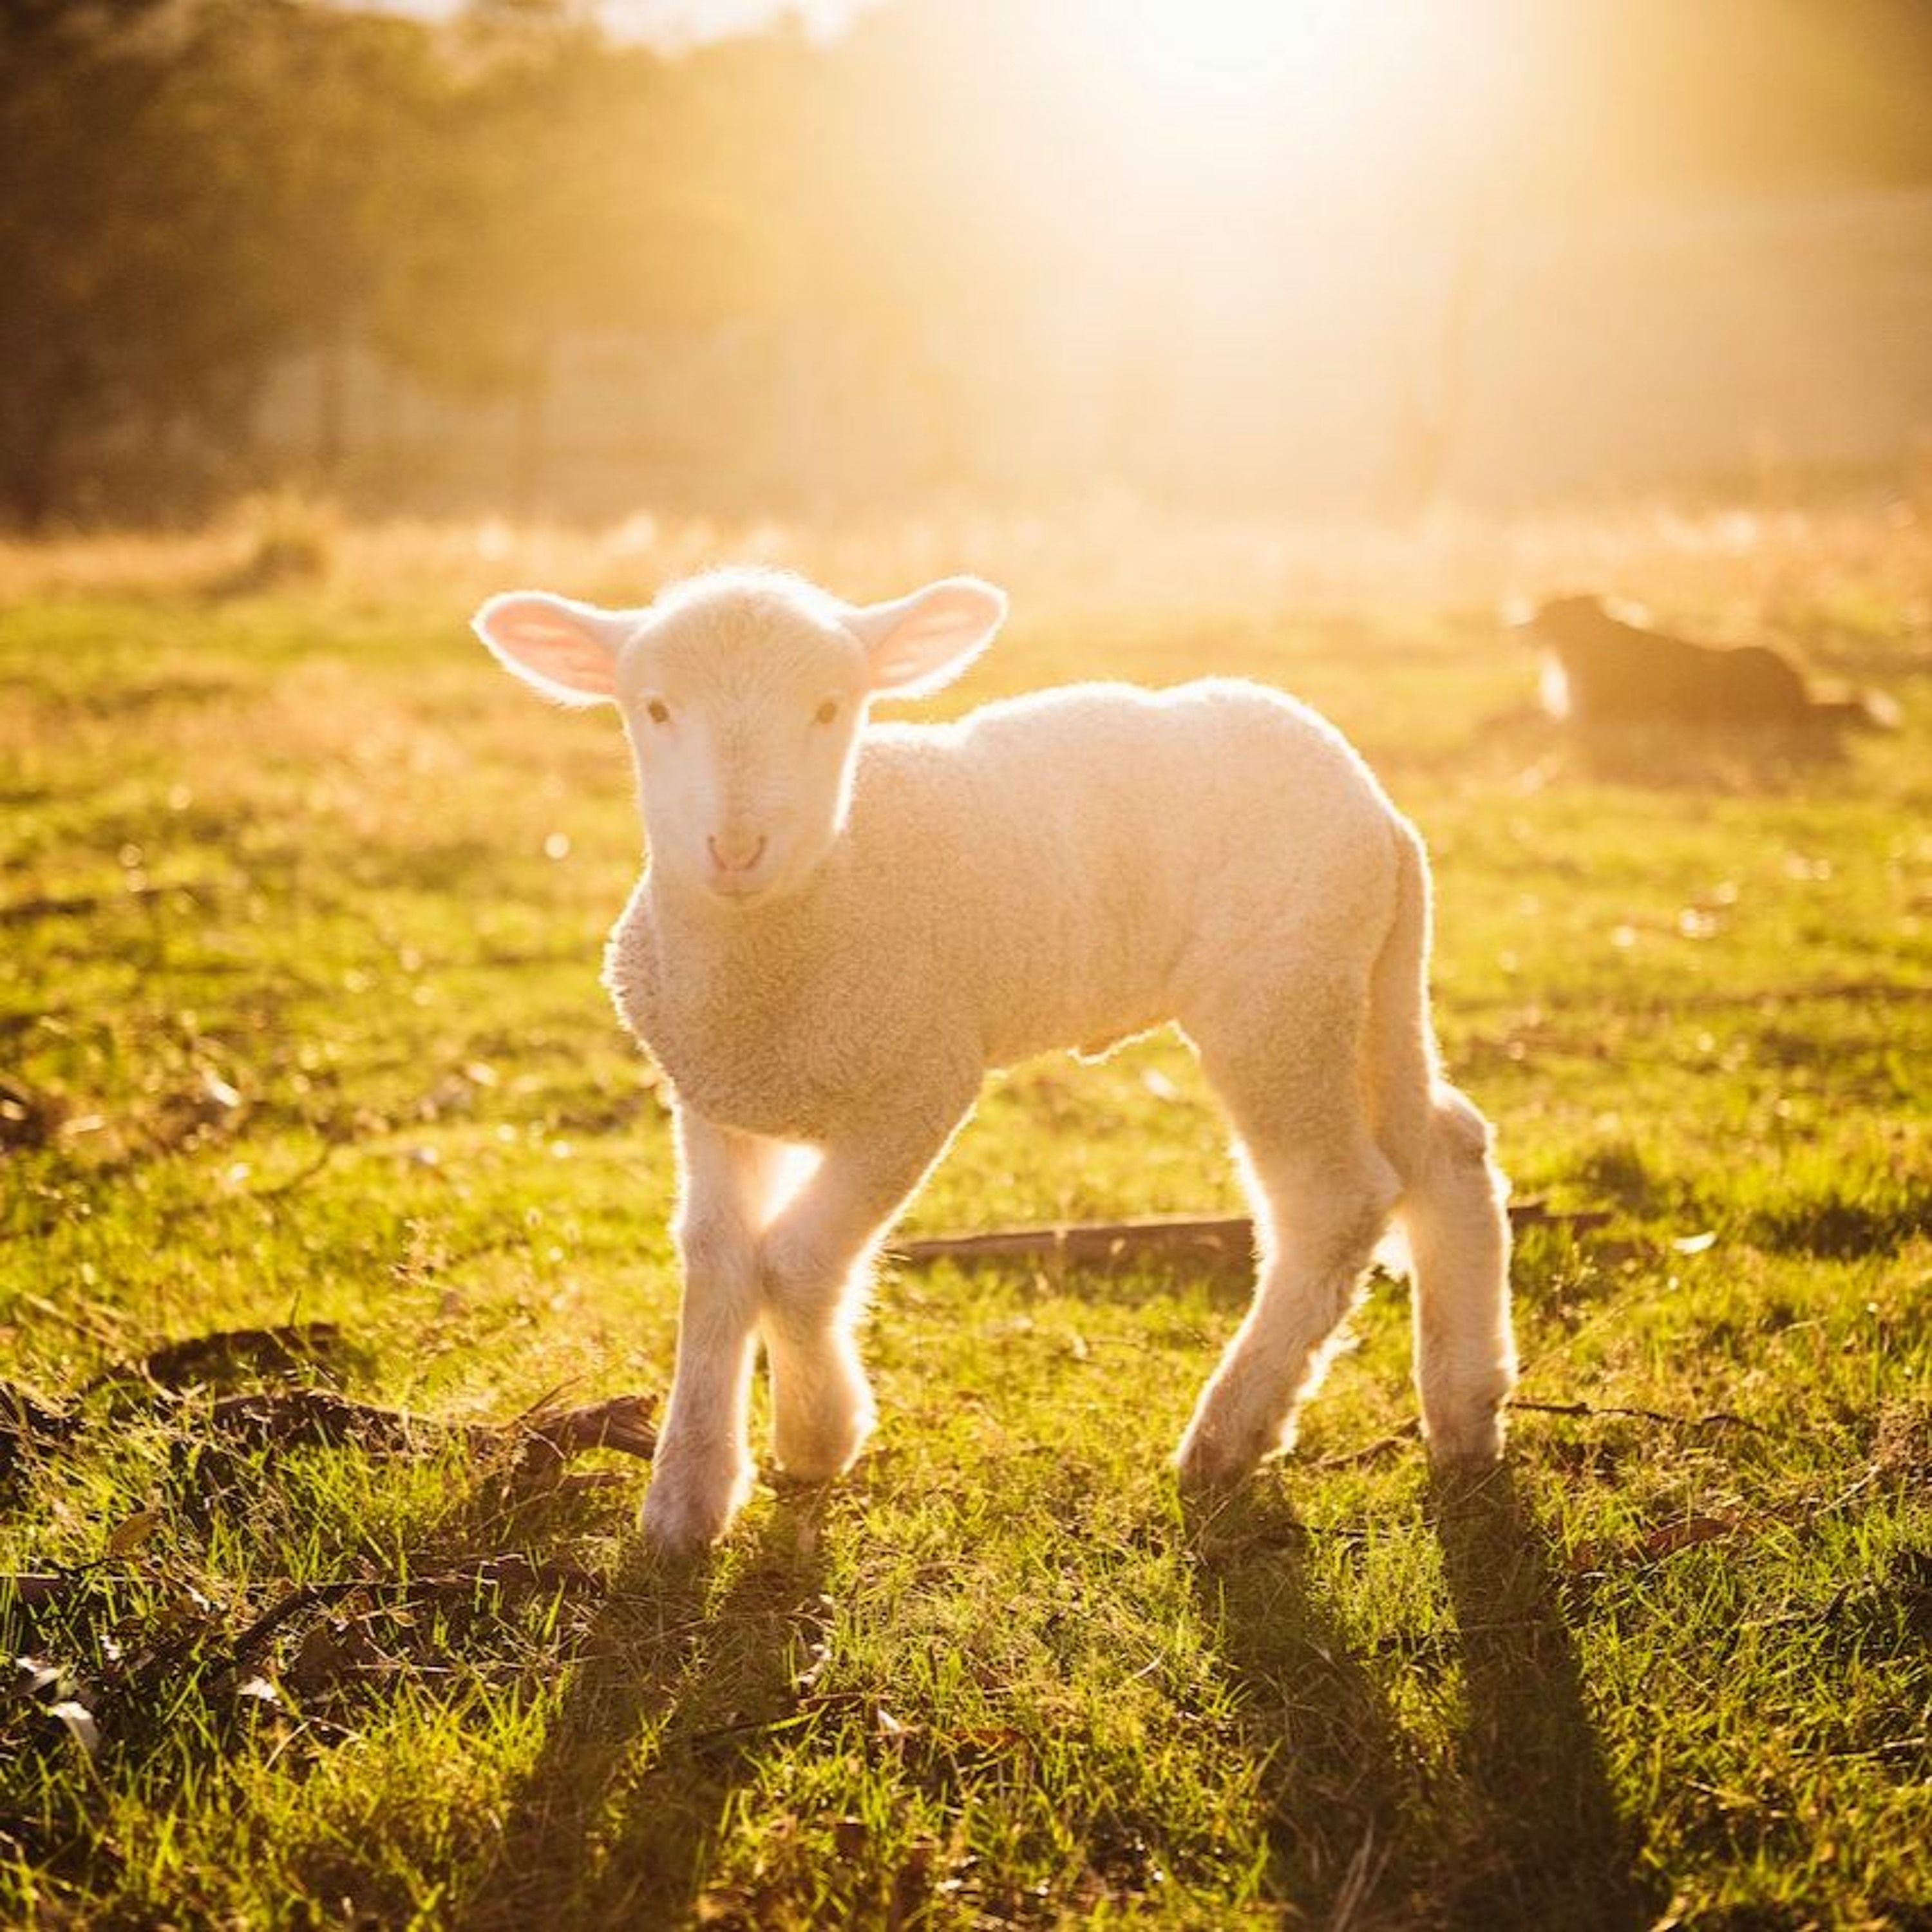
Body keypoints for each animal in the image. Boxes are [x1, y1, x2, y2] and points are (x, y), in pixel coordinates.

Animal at [473, 567, 1516, 1552]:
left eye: (830, 707)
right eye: (653, 708)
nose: (735, 847)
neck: (792, 930)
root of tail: (1378, 808)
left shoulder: (919, 1084)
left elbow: (798, 1262)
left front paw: (817, 1436)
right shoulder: (715, 1094)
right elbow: (718, 1259)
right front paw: (688, 1496)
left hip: (1279, 995)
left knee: (1332, 1202)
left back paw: (1230, 1436)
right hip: (1368, 980)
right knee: (1447, 1149)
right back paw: (1467, 1411)